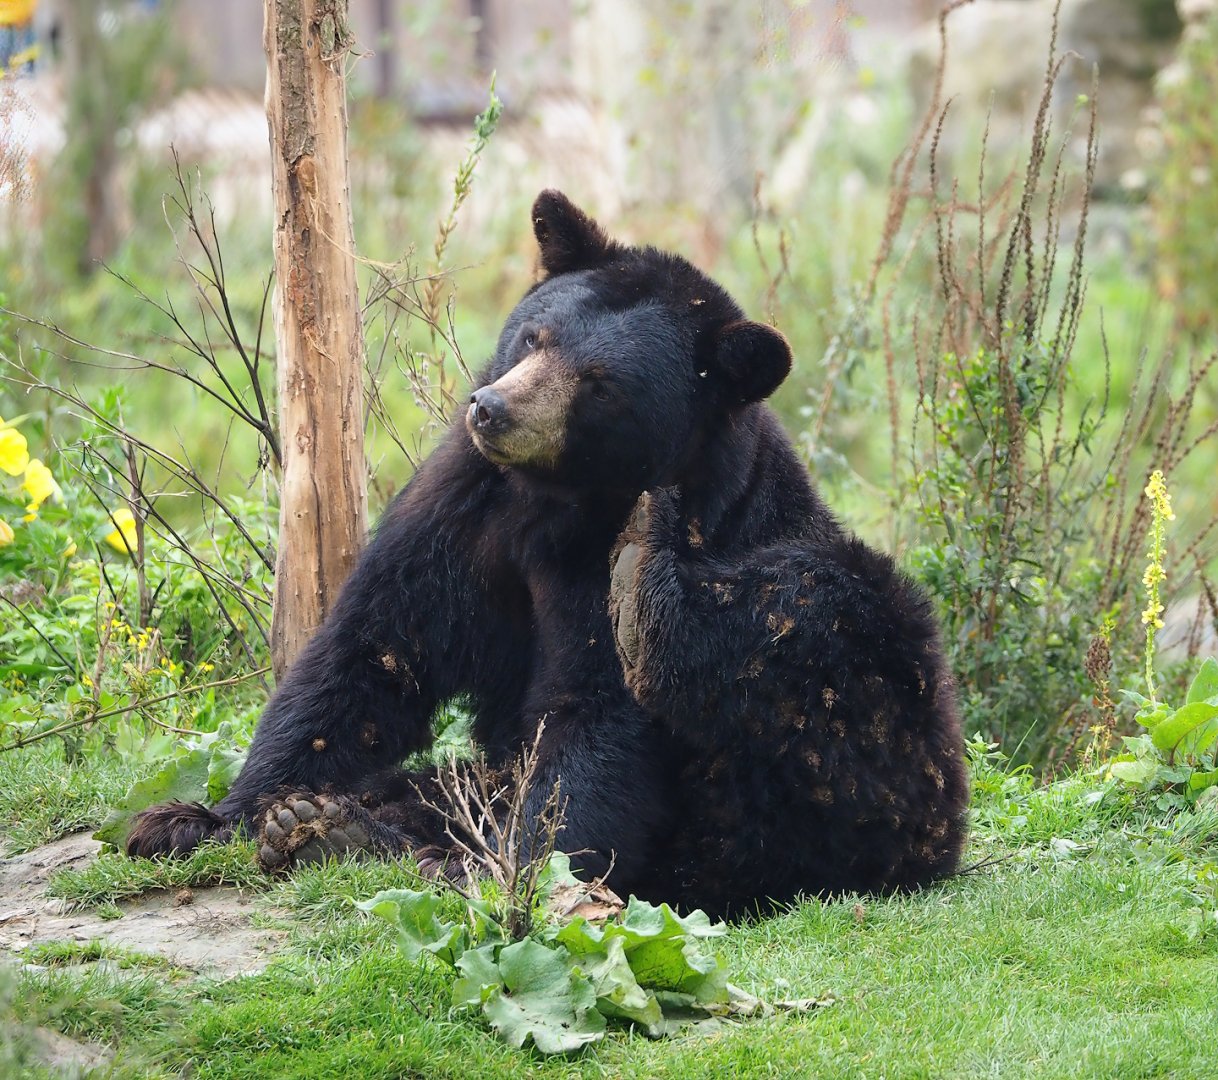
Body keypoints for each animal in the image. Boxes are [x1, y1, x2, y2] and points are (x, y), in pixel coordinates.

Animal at [126, 190, 968, 918]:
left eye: (599, 384)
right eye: (535, 337)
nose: (492, 409)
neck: (559, 501)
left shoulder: (619, 541)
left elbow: (592, 718)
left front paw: (518, 868)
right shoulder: (466, 507)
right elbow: (368, 653)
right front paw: (209, 816)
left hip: (871, 746)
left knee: (831, 618)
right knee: (431, 789)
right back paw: (335, 829)